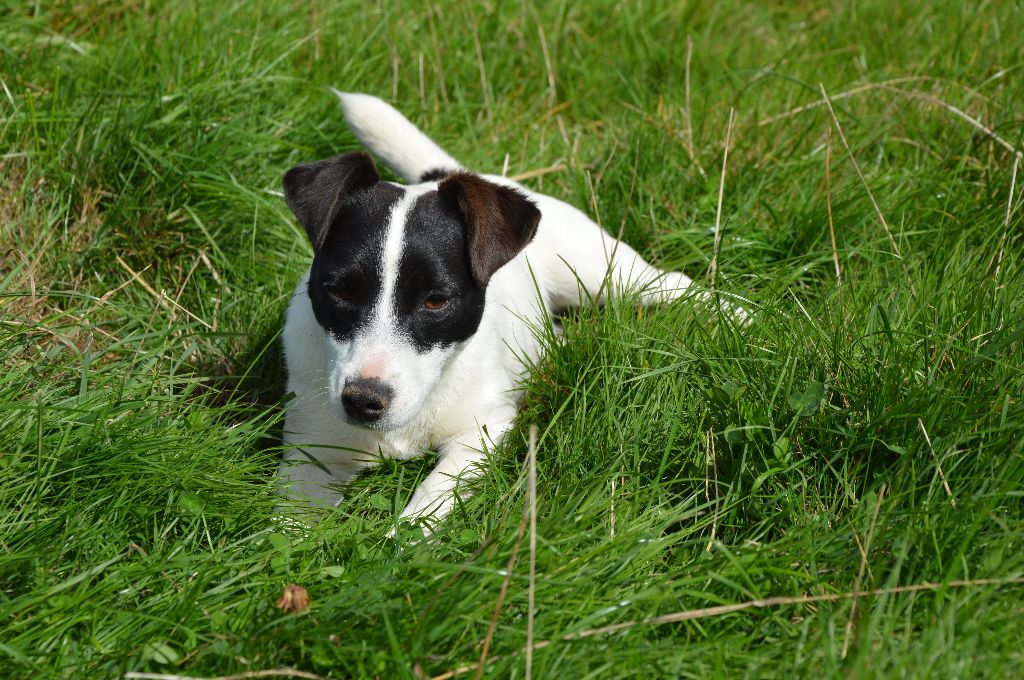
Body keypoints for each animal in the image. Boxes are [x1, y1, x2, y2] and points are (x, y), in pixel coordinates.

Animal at [276, 93, 716, 532]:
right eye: (338, 291)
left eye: (436, 301)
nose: (363, 401)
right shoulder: (309, 453)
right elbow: (286, 526)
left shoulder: (482, 433)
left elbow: (425, 506)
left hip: (602, 273)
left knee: (672, 283)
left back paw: (728, 317)